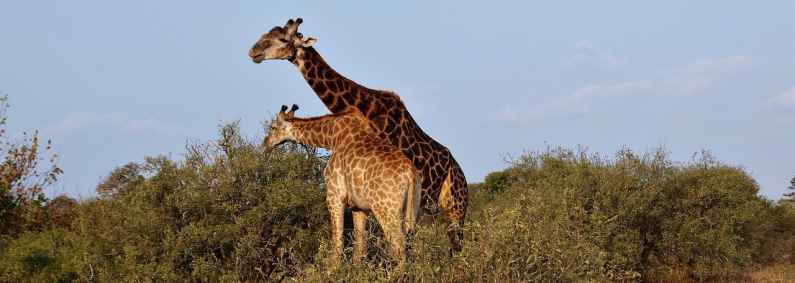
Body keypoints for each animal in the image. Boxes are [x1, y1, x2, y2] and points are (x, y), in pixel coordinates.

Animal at [252, 17, 470, 253]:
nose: (253, 52)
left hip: (454, 210)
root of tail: (461, 174)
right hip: (428, 211)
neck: (367, 110)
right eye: (267, 33)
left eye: (283, 39)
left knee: (452, 246)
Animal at [264, 105, 422, 270]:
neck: (331, 137)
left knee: (398, 244)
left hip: (386, 209)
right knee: (411, 244)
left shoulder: (334, 195)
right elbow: (359, 246)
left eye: (273, 127)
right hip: (412, 209)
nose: (266, 144)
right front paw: (354, 271)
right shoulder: (358, 207)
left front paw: (332, 271)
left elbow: (337, 240)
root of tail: (410, 173)